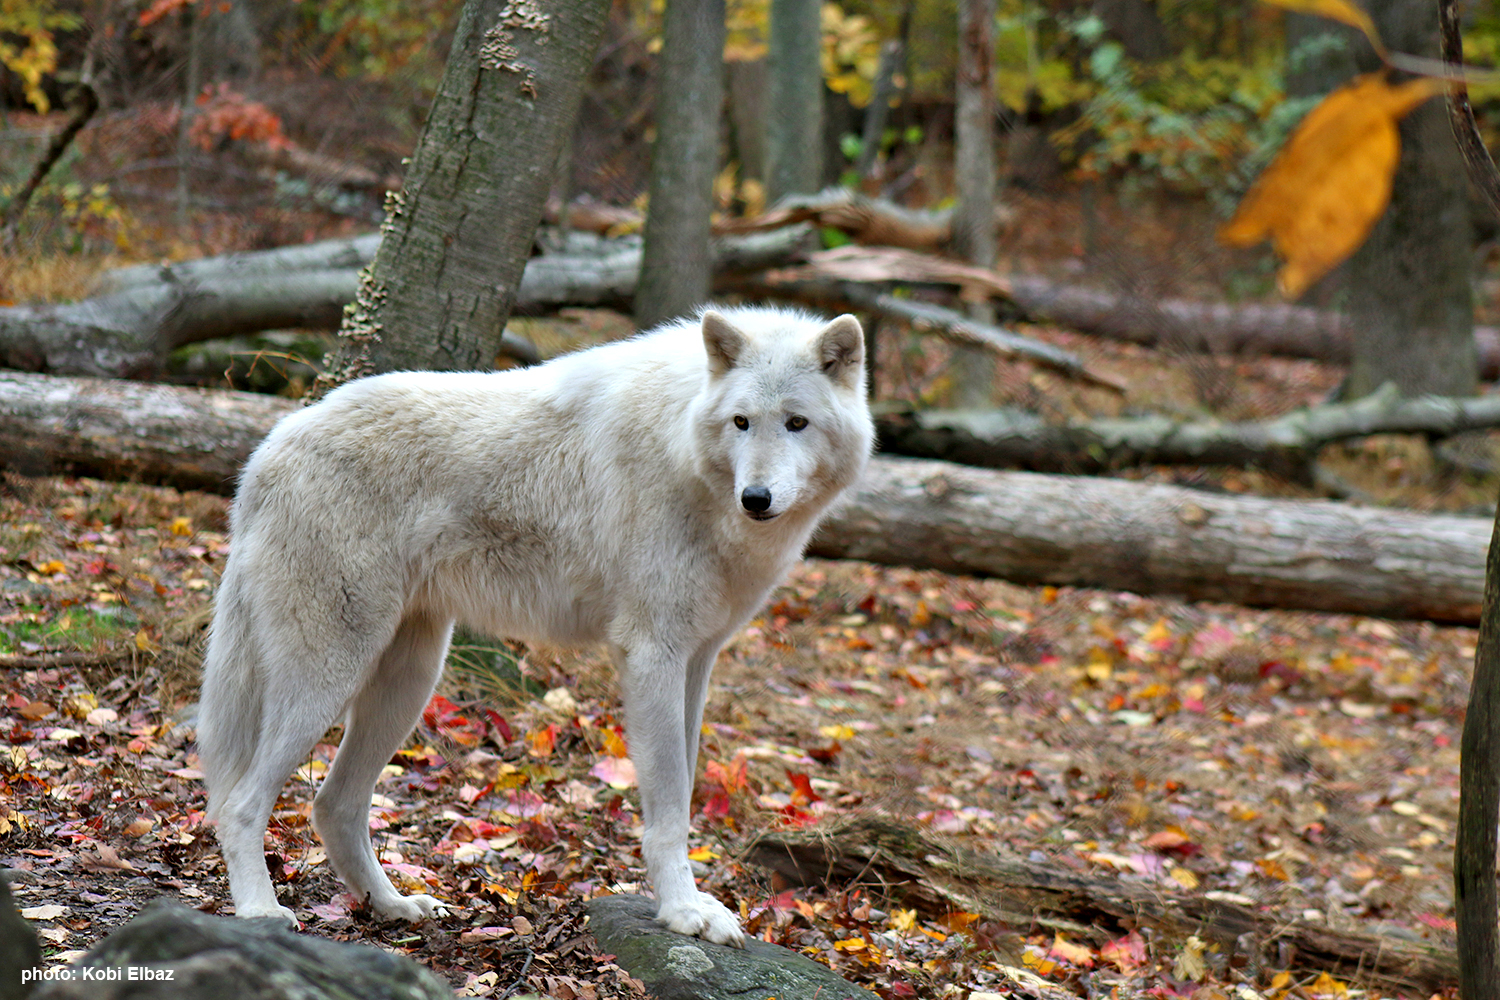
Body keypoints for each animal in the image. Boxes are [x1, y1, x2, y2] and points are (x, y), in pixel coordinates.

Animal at [199, 305, 876, 947]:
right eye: (741, 422)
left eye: (796, 423)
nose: (756, 498)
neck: (683, 447)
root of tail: (267, 449)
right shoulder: (652, 654)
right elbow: (666, 811)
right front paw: (685, 913)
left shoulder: (697, 659)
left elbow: (682, 797)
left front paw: (692, 905)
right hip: (329, 674)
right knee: (239, 803)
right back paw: (260, 910)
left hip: (408, 681)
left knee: (333, 804)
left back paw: (394, 907)